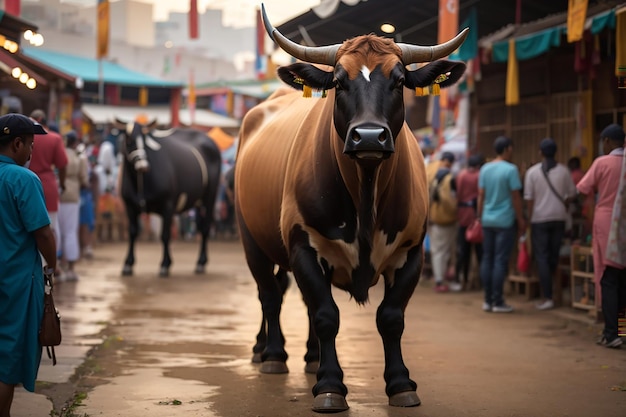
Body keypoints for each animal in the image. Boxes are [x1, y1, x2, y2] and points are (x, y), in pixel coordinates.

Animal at [114, 120, 222, 276]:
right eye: (129, 140)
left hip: (210, 197)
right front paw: (128, 264)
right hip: (198, 200)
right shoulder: (129, 206)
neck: (141, 182)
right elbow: (133, 232)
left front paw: (165, 264)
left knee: (205, 227)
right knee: (200, 225)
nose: (143, 165)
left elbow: (165, 235)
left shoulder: (168, 204)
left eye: (145, 139)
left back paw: (201, 263)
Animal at [232, 4, 466, 412]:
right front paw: (330, 386)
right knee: (270, 295)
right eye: (339, 82)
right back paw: (272, 353)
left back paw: (309, 357)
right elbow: (327, 315)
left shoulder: (412, 251)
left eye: (399, 80)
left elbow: (390, 317)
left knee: (293, 298)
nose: (369, 136)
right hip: (252, 240)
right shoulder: (303, 244)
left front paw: (400, 384)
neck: (366, 195)